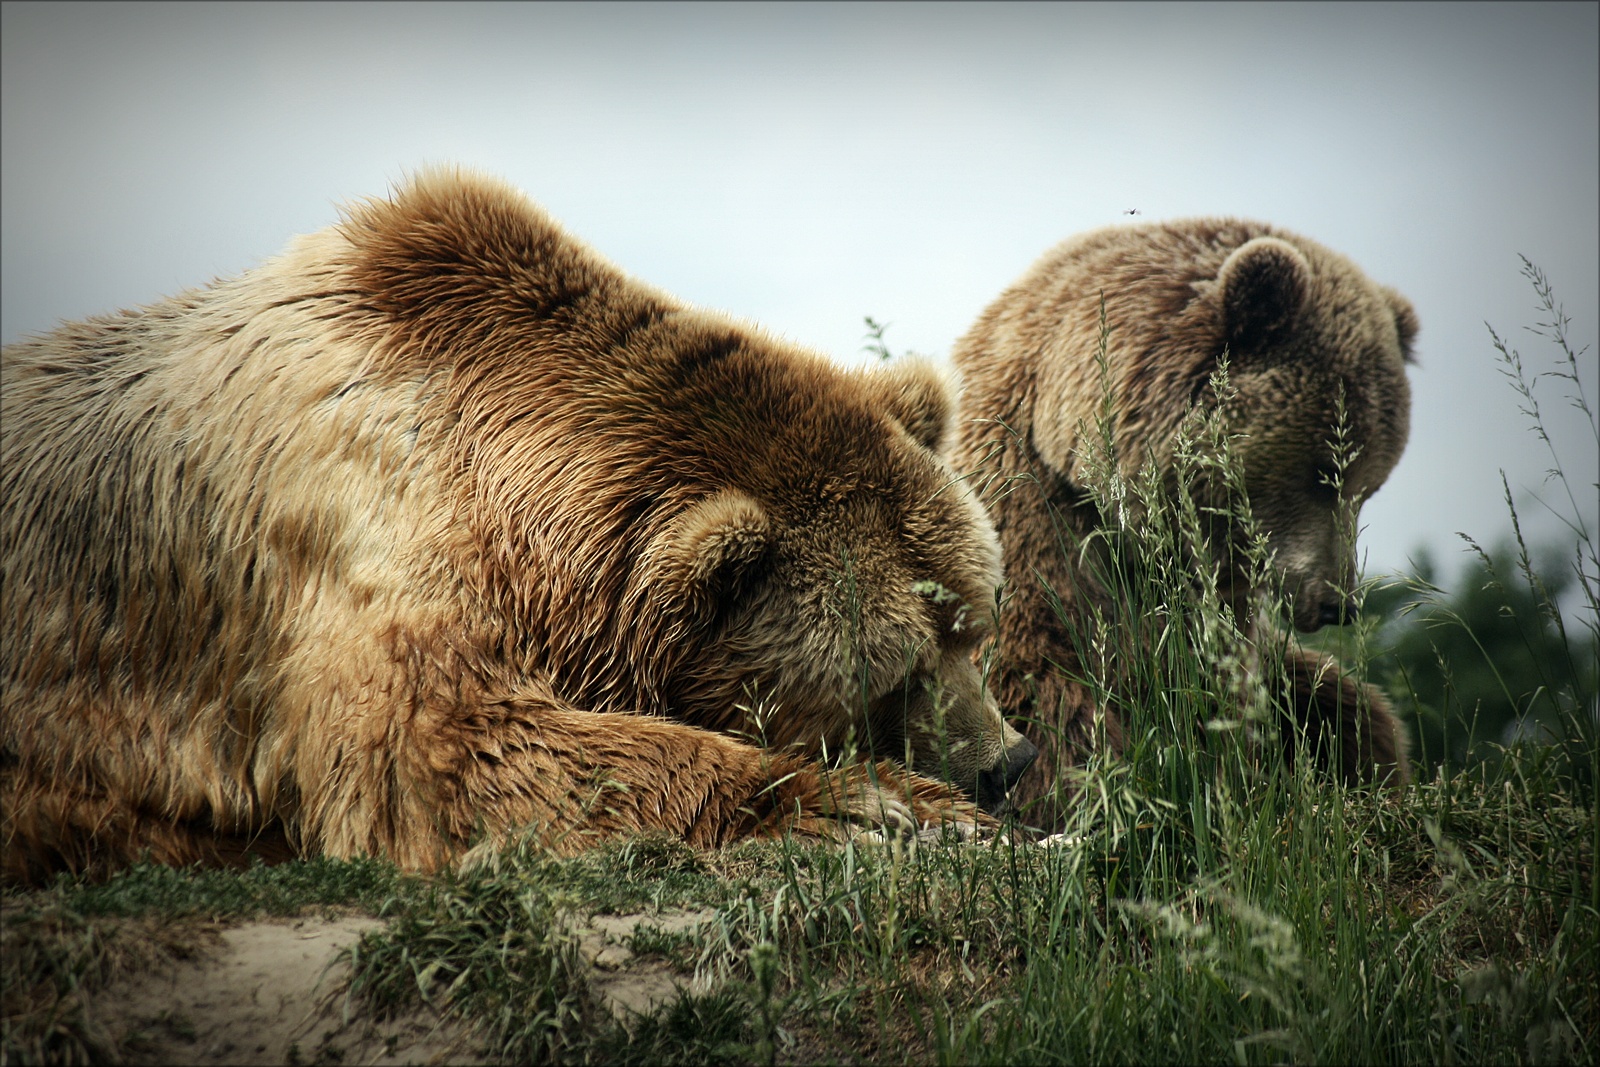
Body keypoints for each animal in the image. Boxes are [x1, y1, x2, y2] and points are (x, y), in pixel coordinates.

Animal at [3, 167, 1036, 883]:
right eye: (892, 675)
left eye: (975, 623)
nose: (1009, 763)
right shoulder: (368, 543)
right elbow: (448, 750)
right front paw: (872, 804)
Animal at [947, 220, 1414, 831]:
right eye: (1321, 474)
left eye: (1369, 485)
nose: (1338, 602)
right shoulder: (1040, 542)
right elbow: (1050, 702)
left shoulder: (1218, 615)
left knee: (1347, 705)